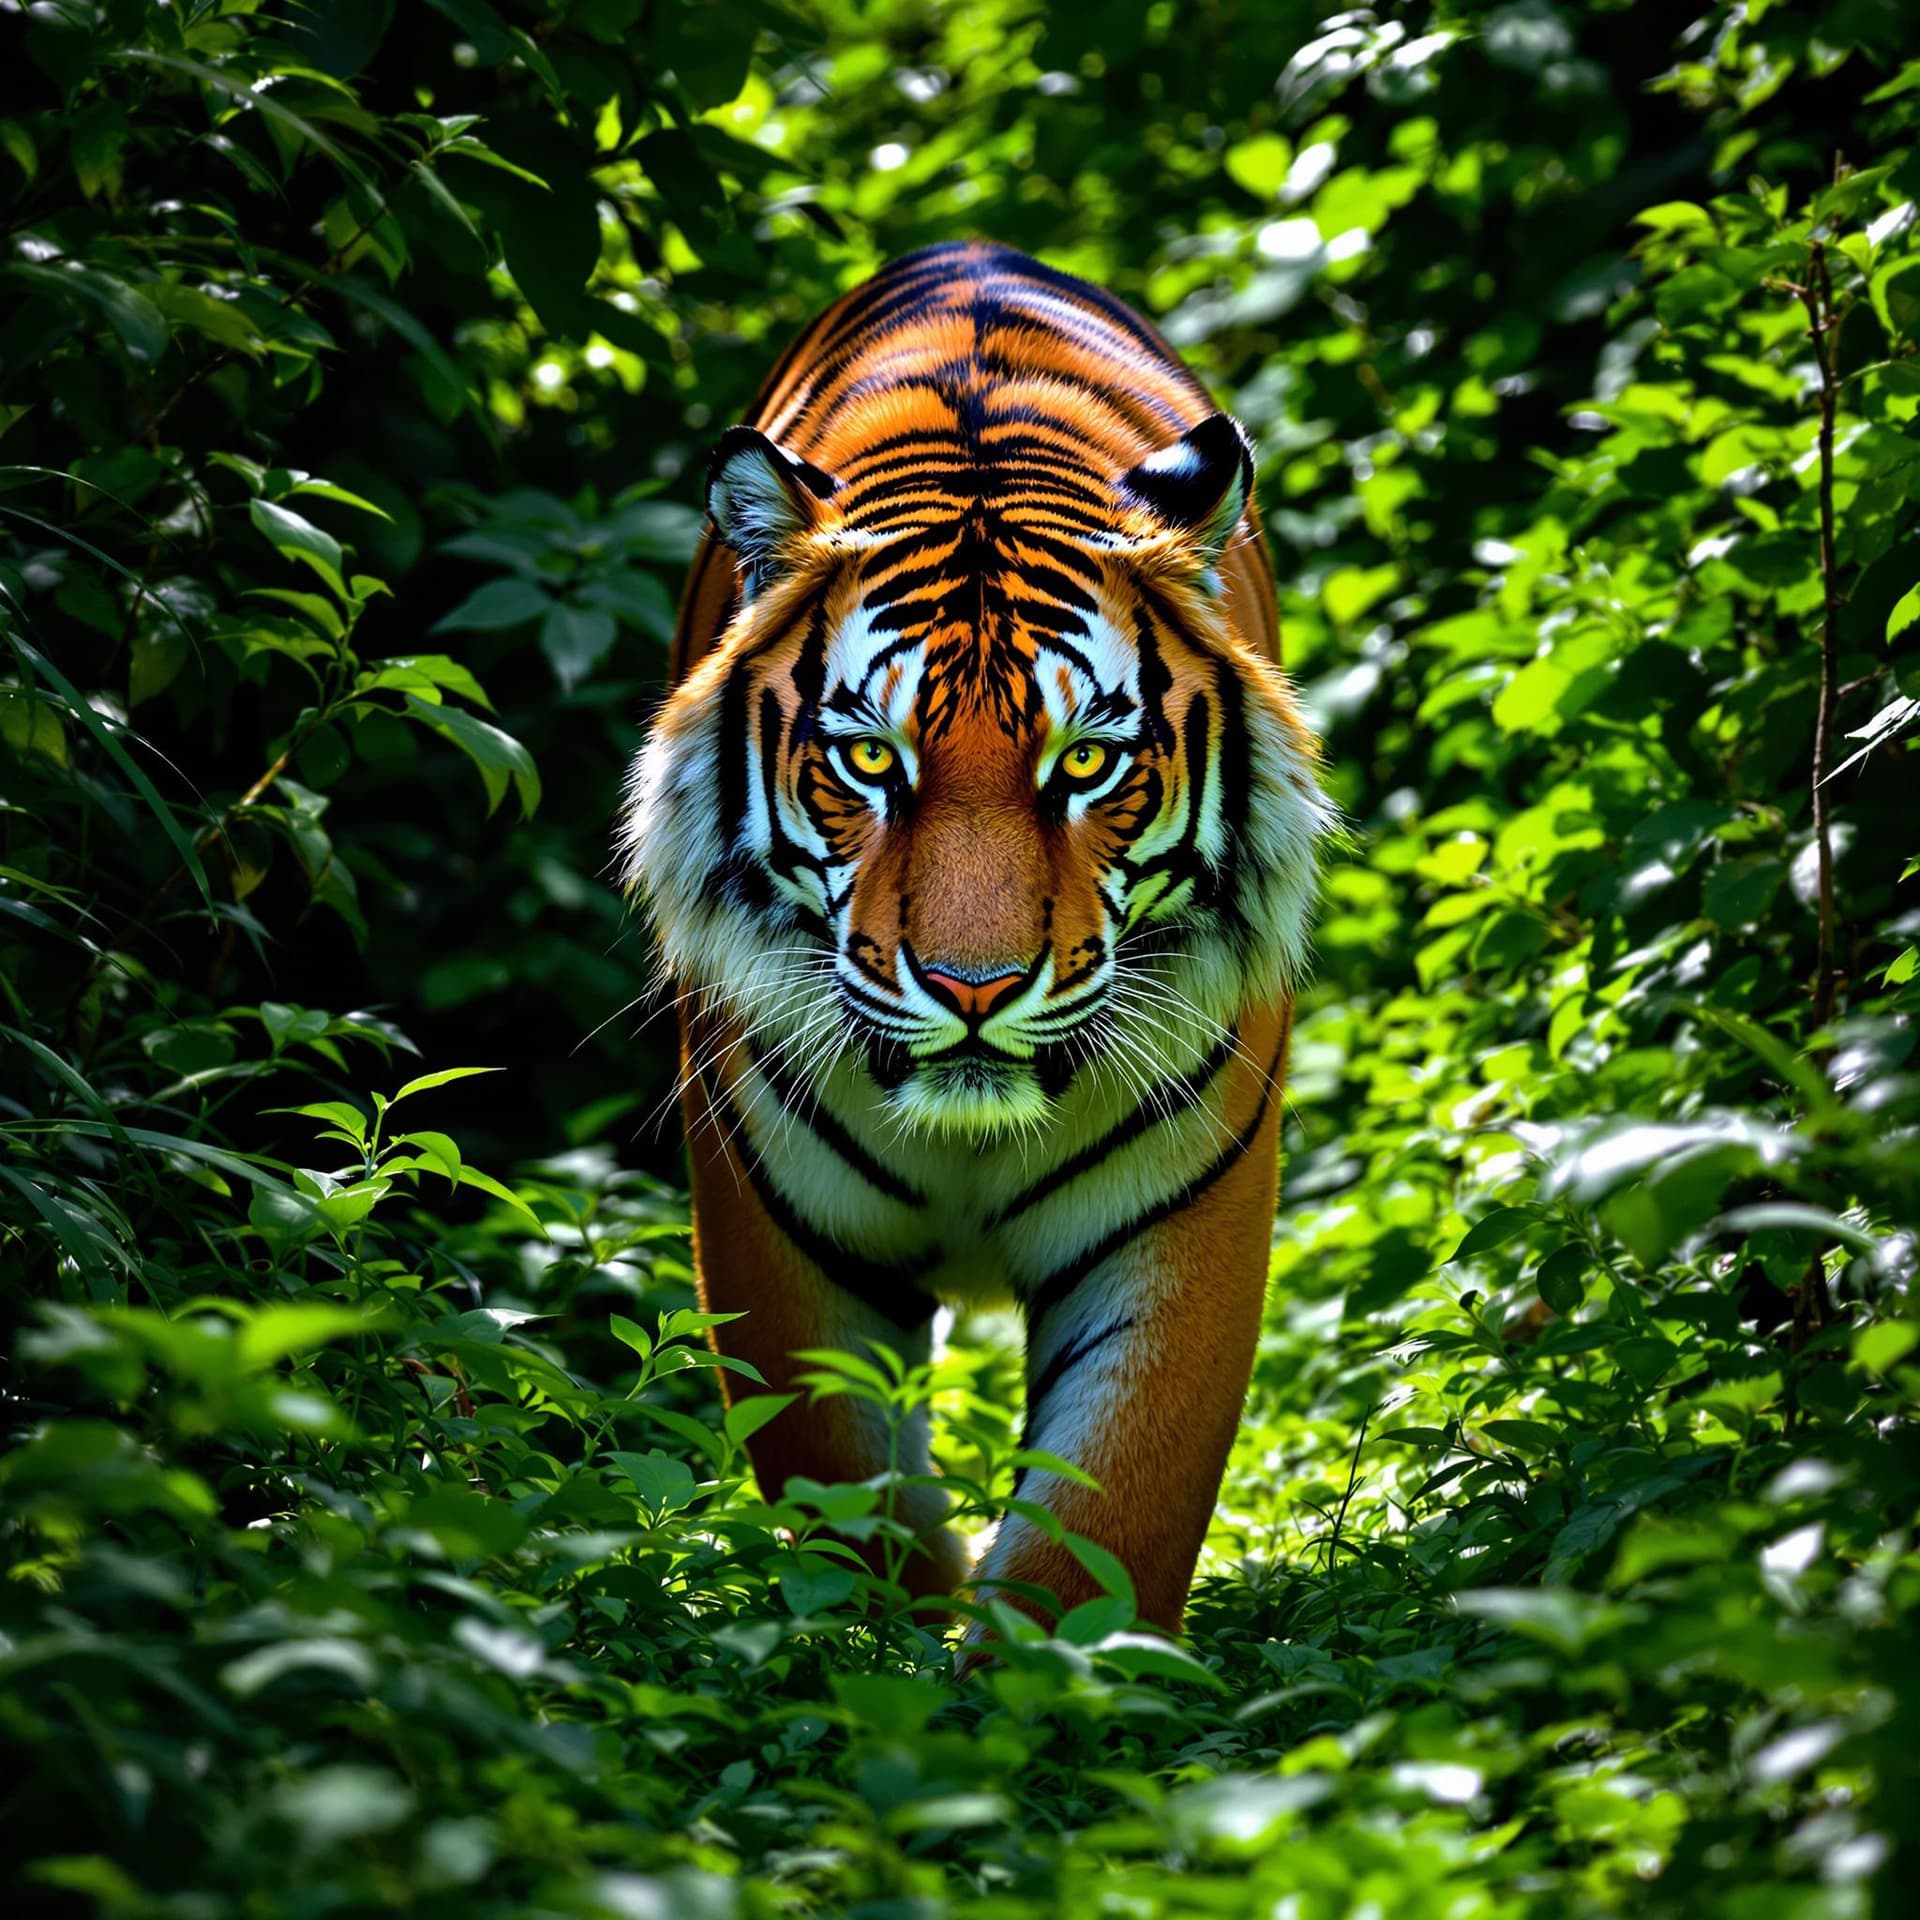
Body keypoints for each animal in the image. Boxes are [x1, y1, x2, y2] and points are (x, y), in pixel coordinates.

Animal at [619, 241, 1331, 1636]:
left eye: (1087, 763)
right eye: (869, 761)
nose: (973, 988)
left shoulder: (1183, 1220)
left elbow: (1107, 1526)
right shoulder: (780, 1228)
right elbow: (844, 1495)